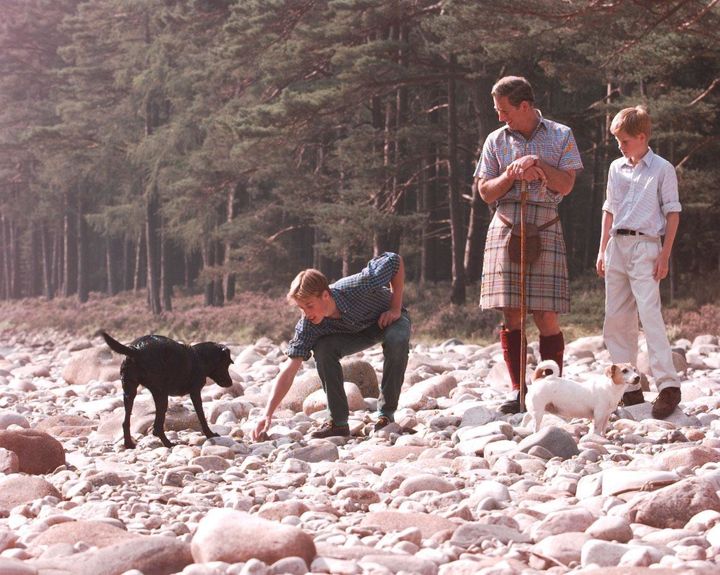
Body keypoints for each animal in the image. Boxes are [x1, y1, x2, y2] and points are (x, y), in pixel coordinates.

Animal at [100, 332, 233, 450]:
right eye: (227, 364)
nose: (230, 383)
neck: (199, 357)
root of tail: (136, 349)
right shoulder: (195, 393)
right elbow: (201, 416)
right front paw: (210, 434)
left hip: (129, 391)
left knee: (126, 422)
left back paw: (129, 444)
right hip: (161, 394)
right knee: (157, 427)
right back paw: (169, 444)